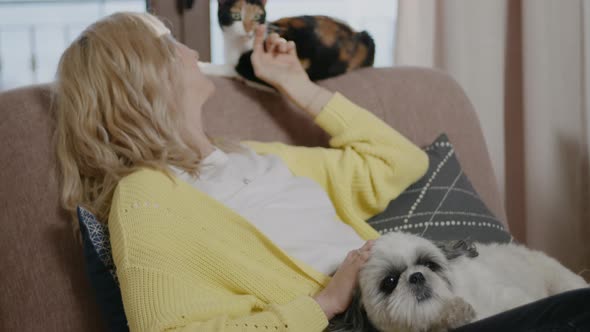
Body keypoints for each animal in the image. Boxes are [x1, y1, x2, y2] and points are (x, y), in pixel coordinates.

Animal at [210, 0, 374, 84]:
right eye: (236, 15)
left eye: (257, 16)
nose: (248, 29)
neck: (235, 44)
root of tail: (356, 33)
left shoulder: (248, 68)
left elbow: (229, 68)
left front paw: (204, 66)